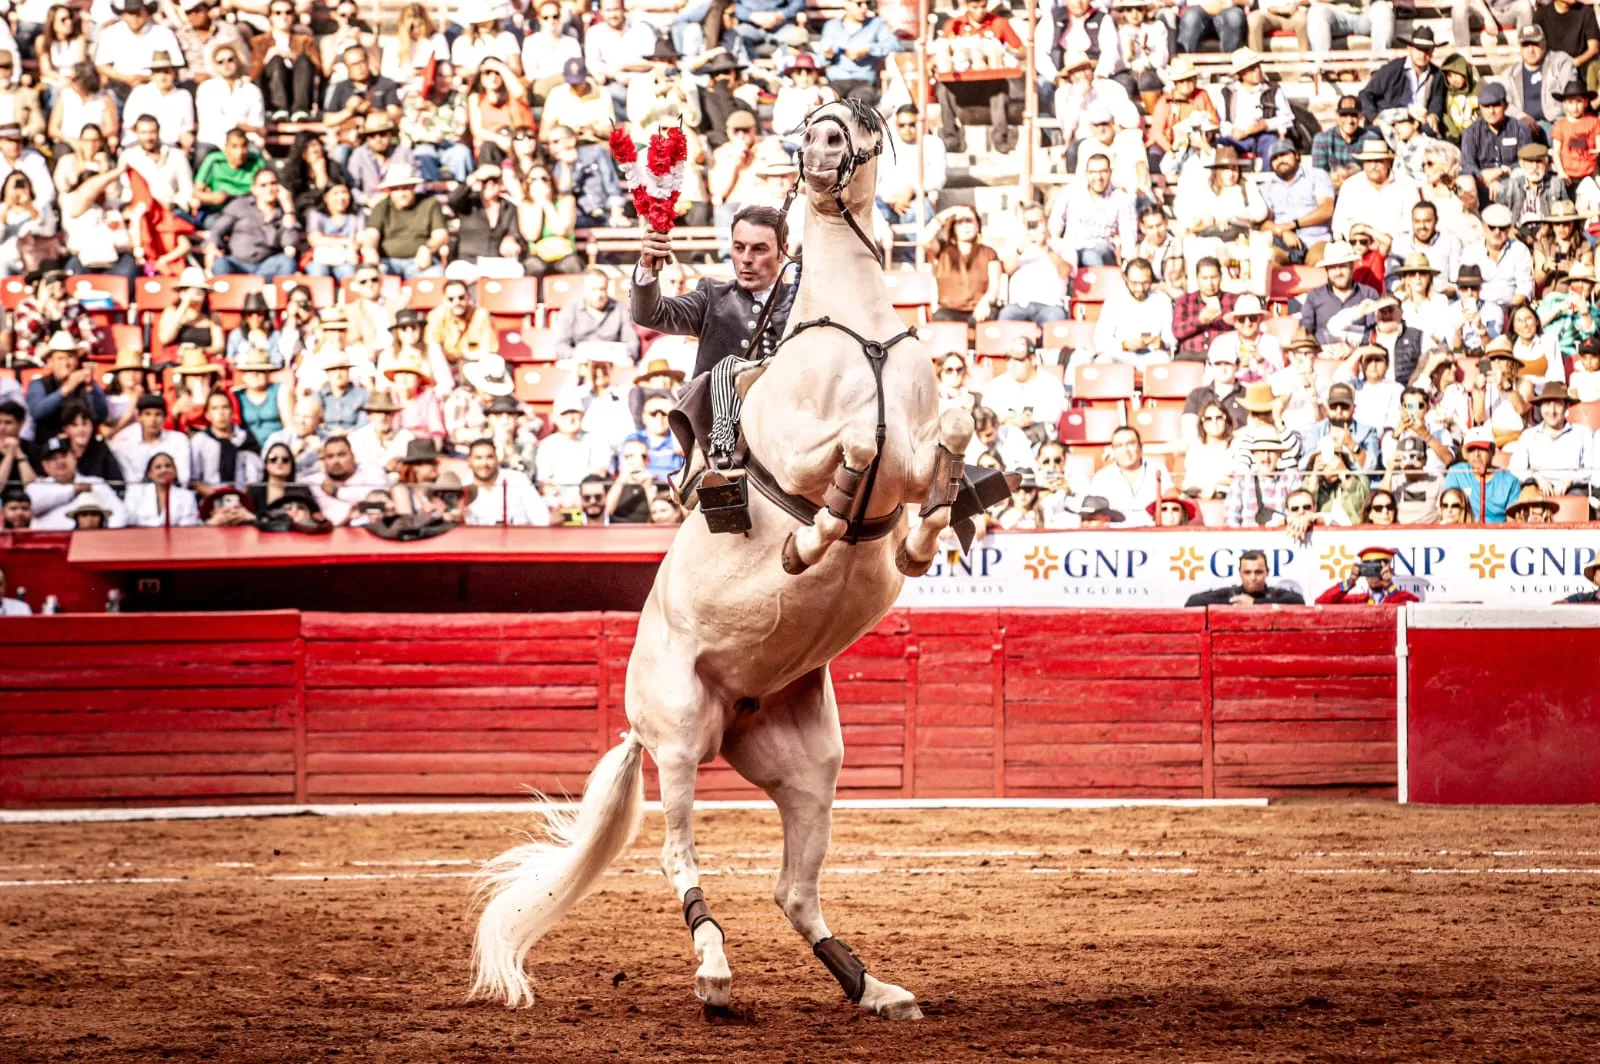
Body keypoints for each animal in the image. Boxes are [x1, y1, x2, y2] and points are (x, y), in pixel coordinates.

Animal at [469, 100, 975, 1020]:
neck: (858, 331)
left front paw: (920, 542)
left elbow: (948, 434)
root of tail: (725, 712)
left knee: (794, 891)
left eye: (858, 118)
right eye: (811, 127)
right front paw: (812, 538)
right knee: (679, 856)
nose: (822, 156)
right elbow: (849, 454)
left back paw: (873, 987)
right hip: (674, 739)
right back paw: (714, 972)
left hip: (811, 766)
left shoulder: (920, 447)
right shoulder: (813, 447)